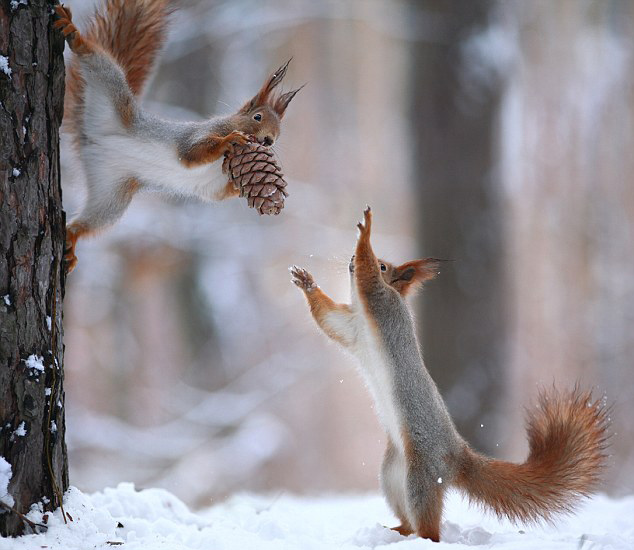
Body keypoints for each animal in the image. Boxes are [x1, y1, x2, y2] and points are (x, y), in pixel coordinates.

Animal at [54, 1, 302, 274]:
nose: (269, 140)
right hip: (112, 92)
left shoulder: (213, 184)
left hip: (111, 195)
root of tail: (90, 139)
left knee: (90, 222)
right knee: (97, 61)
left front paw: (241, 188)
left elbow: (216, 194)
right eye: (257, 117)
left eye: (279, 132)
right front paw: (229, 141)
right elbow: (192, 153)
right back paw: (74, 34)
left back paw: (72, 238)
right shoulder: (196, 135)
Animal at [290, 208, 608, 544]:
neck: (364, 315)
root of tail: (457, 456)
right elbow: (328, 319)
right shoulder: (351, 329)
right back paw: (397, 531)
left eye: (384, 265)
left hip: (421, 475)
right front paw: (306, 281)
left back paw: (420, 538)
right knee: (409, 518)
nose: (351, 258)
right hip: (391, 475)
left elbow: (369, 279)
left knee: (431, 528)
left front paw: (366, 232)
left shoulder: (381, 301)